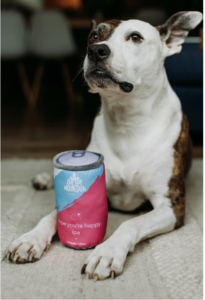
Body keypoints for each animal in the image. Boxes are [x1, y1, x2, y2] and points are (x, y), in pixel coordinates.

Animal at [4, 11, 203, 282]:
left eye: (135, 37)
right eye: (94, 36)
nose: (96, 51)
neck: (127, 122)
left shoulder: (171, 206)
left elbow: (130, 223)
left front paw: (106, 253)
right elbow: (52, 215)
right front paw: (30, 238)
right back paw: (44, 179)